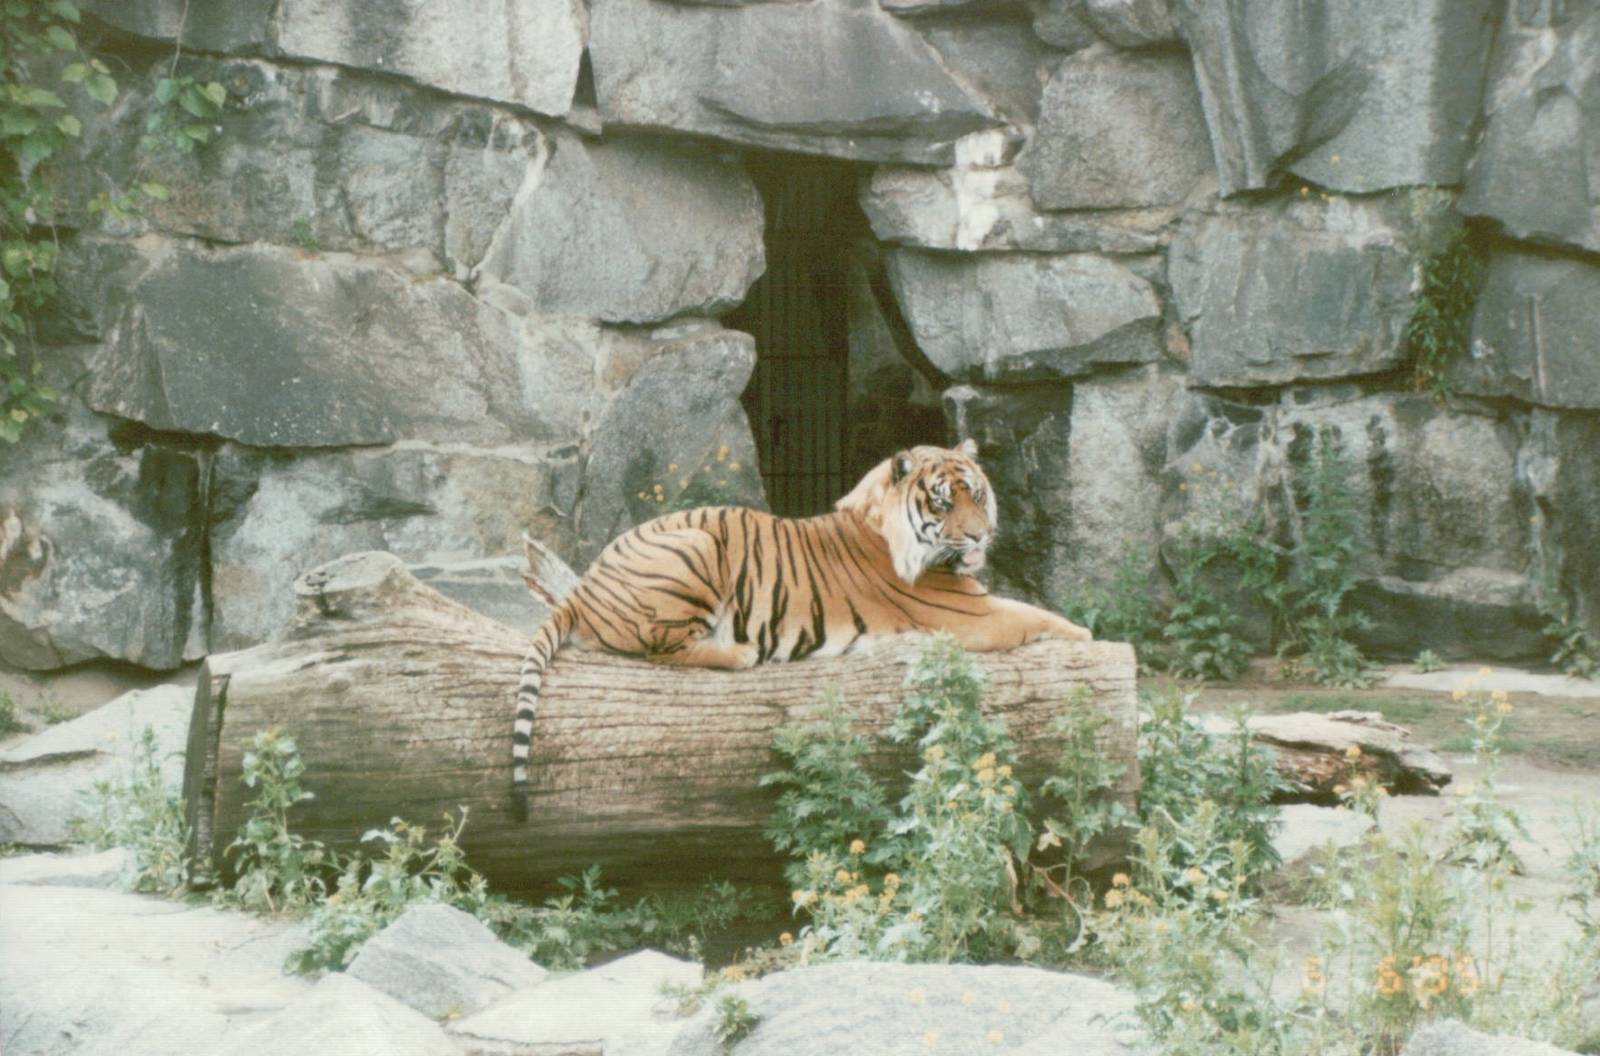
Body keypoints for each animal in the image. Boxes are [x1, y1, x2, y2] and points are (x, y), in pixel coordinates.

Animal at [510, 438, 1092, 819]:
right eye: (944, 500)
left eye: (978, 493)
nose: (979, 536)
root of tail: (585, 585)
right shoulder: (973, 614)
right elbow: (1046, 617)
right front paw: (1092, 640)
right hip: (698, 544)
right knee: (661, 648)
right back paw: (737, 652)